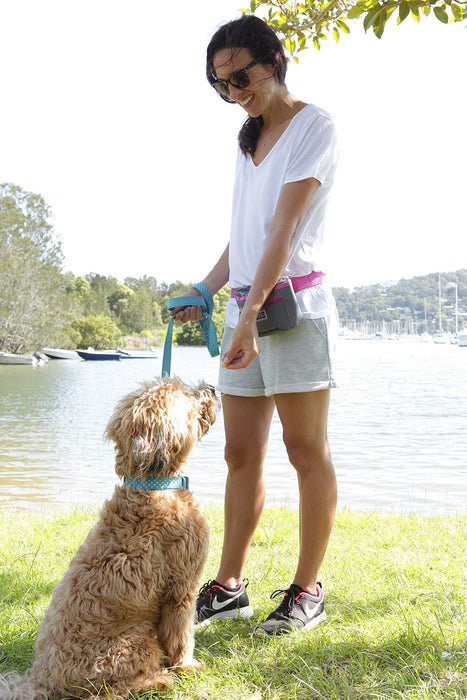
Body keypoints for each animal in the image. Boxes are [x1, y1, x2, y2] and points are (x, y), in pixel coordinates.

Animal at [1, 376, 217, 699]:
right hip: (136, 642)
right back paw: (159, 679)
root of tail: (43, 680)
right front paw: (187, 666)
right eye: (185, 396)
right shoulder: (181, 589)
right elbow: (181, 635)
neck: (153, 487)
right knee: (111, 691)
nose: (213, 390)